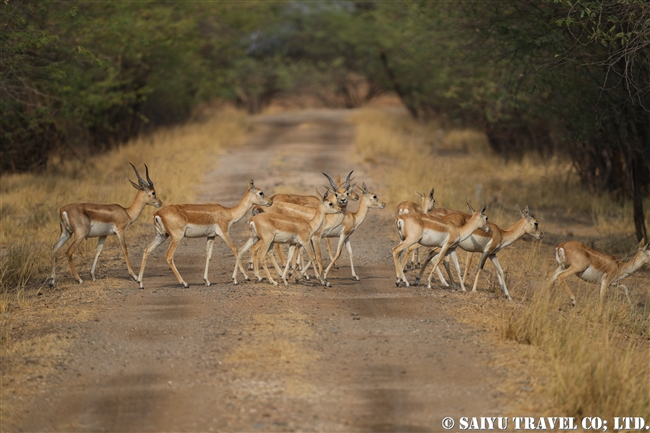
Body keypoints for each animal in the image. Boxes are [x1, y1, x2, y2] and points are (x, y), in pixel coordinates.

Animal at [137, 179, 270, 286]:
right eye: (260, 193)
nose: (270, 202)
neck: (228, 212)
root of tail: (157, 213)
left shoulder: (211, 236)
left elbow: (208, 255)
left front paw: (207, 281)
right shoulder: (224, 233)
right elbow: (236, 250)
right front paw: (242, 278)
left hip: (161, 236)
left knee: (147, 250)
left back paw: (140, 282)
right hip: (176, 238)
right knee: (169, 256)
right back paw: (184, 283)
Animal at [410, 204, 540, 298]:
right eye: (536, 223)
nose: (541, 235)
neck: (502, 234)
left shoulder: (493, 254)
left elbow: (500, 271)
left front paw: (507, 295)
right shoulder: (486, 252)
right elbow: (479, 269)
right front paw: (473, 290)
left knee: (432, 256)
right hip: (441, 244)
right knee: (429, 254)